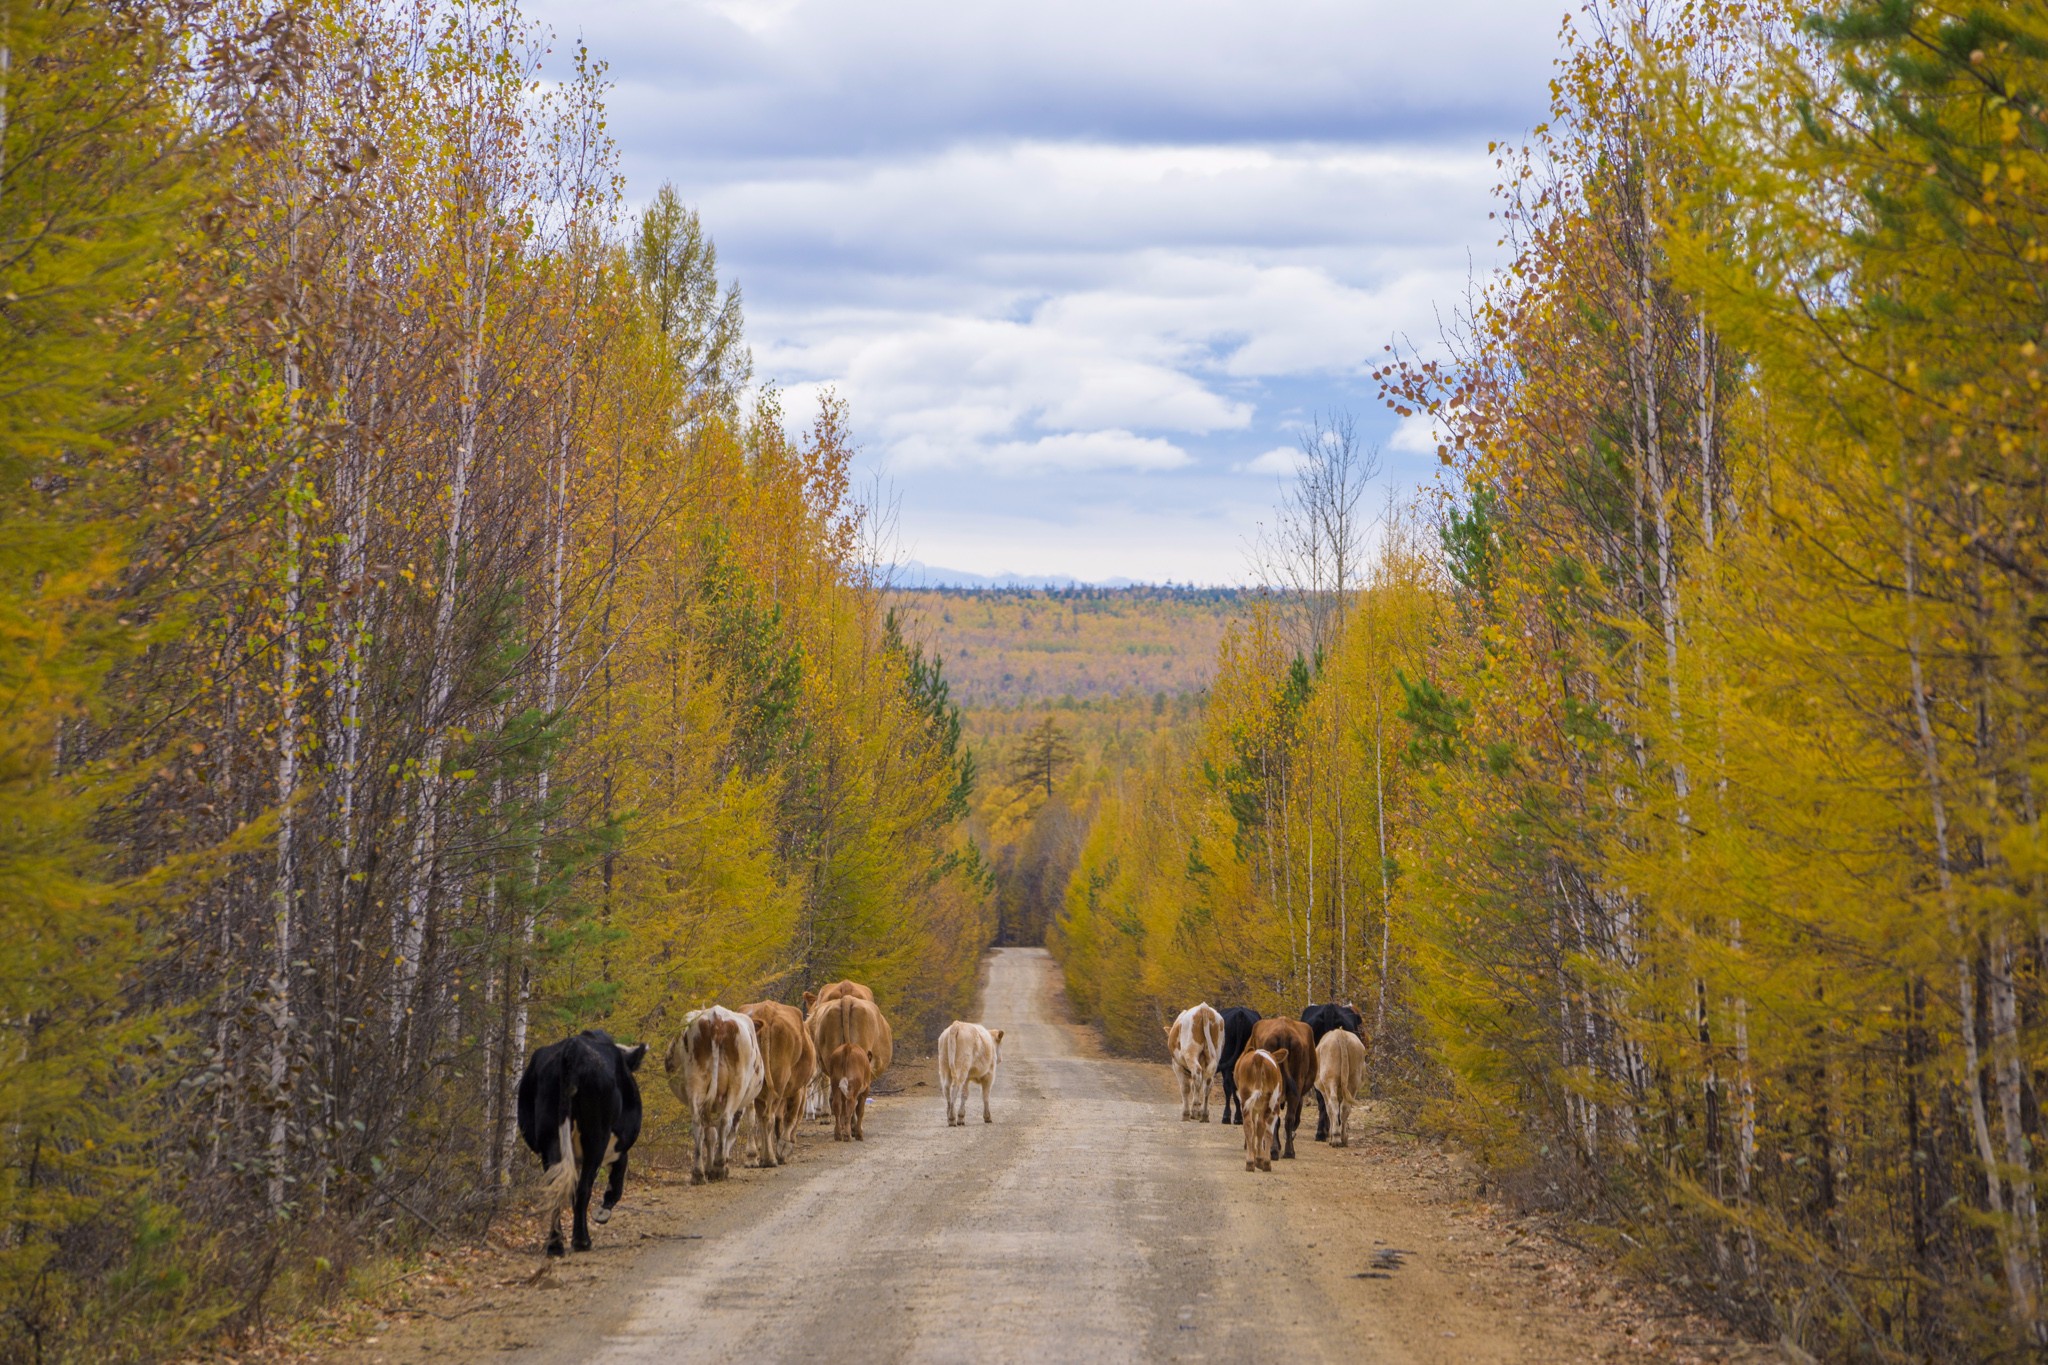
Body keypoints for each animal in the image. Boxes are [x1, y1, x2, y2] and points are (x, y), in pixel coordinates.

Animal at [516, 1031, 643, 1252]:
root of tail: (573, 1048)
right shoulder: (619, 1149)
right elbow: (617, 1183)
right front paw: (602, 1213)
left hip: (550, 1137)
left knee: (556, 1186)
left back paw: (555, 1245)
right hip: (596, 1137)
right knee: (583, 1188)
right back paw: (581, 1241)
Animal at [663, 1002, 770, 1186]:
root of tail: (716, 1019)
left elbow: (710, 1135)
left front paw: (708, 1167)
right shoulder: (739, 1104)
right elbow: (729, 1133)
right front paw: (719, 1165)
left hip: (696, 1082)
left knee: (698, 1124)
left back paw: (698, 1173)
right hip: (737, 1085)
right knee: (725, 1121)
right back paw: (719, 1167)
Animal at [741, 998, 811, 1170]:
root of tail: (766, 1012)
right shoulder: (799, 1089)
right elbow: (791, 1116)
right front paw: (784, 1147)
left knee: (752, 1117)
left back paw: (752, 1157)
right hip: (780, 1078)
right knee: (769, 1116)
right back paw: (770, 1159)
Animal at [1228, 1047, 1277, 1178]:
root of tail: (1258, 1057)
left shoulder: (1253, 1107)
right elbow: (1268, 1132)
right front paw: (1265, 1160)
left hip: (1246, 1099)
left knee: (1249, 1126)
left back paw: (1250, 1161)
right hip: (1267, 1103)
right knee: (1261, 1126)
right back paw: (1259, 1160)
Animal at [1302, 1002, 1368, 1146]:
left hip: (1329, 1079)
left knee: (1331, 1103)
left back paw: (1331, 1136)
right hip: (1352, 1080)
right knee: (1345, 1105)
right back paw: (1342, 1137)